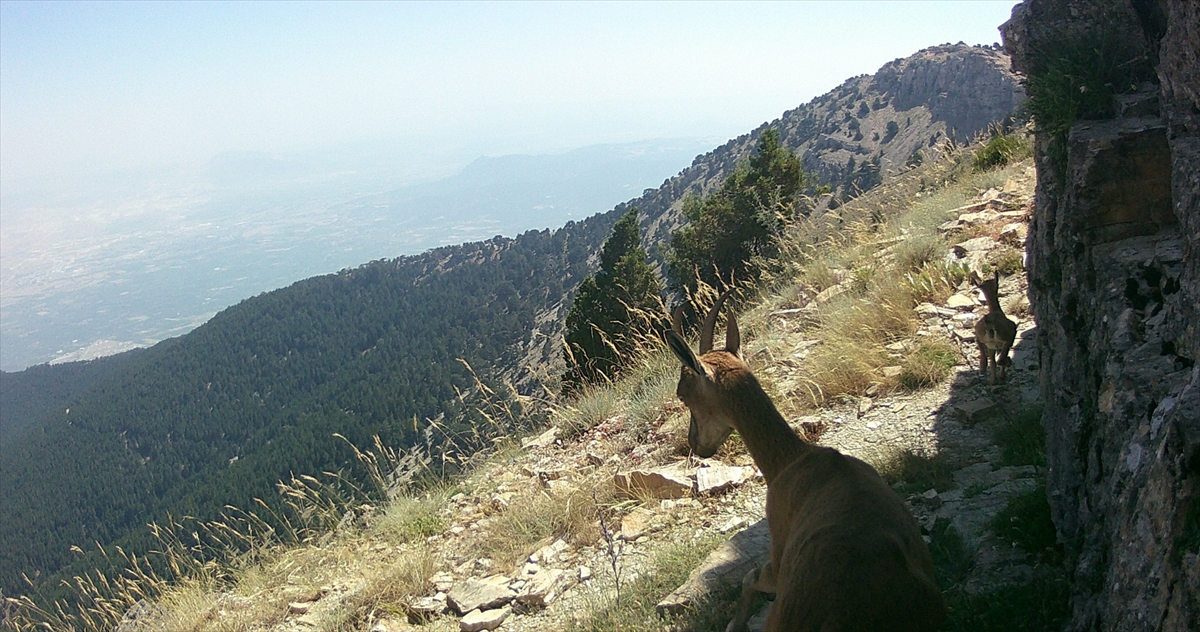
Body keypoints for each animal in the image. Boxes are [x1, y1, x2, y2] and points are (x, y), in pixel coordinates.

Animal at [667, 292, 945, 632]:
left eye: (683, 394)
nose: (696, 444)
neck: (790, 460)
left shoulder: (778, 553)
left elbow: (751, 576)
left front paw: (735, 623)